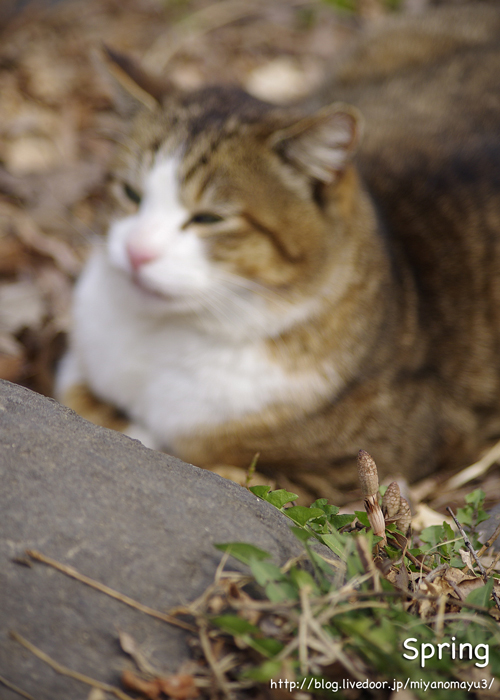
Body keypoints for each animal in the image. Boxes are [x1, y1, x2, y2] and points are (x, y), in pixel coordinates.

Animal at [56, 2, 500, 500]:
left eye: (209, 218)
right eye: (130, 193)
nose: (137, 252)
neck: (164, 336)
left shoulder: (343, 472)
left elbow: (200, 456)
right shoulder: (78, 362)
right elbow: (81, 396)